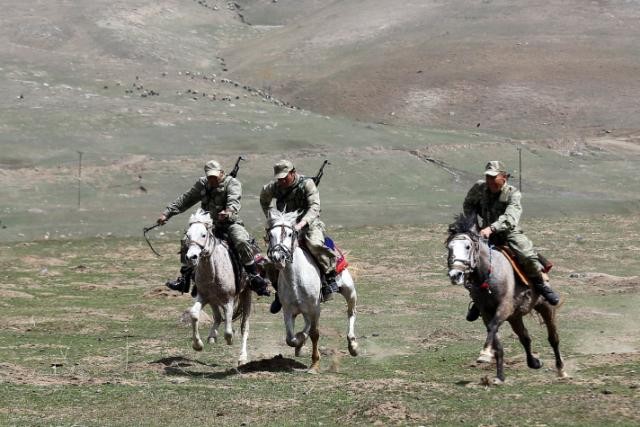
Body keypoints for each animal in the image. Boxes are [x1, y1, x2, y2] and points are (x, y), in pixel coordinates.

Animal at [184, 209, 251, 366]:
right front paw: (197, 345)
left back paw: (242, 357)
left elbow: (228, 328)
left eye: (203, 234)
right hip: (213, 300)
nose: (191, 257)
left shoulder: (229, 300)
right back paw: (212, 336)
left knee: (244, 327)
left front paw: (230, 339)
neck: (212, 270)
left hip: (247, 295)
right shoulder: (203, 296)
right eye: (188, 235)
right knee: (218, 317)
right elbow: (194, 314)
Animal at [264, 209, 358, 372]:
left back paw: (353, 346)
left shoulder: (315, 308)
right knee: (306, 324)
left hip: (349, 290)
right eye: (271, 235)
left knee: (350, 313)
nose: (278, 257)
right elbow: (290, 338)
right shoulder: (288, 310)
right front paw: (300, 342)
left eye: (290, 234)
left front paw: (314, 364)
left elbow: (315, 334)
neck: (295, 279)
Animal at [444, 214, 564, 384]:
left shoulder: (504, 307)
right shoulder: (486, 312)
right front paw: (500, 376)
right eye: (449, 247)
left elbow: (493, 327)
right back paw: (534, 363)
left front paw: (485, 354)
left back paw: (561, 370)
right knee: (525, 338)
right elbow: (496, 340)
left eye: (468, 247)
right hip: (515, 317)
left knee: (553, 338)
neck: (488, 274)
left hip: (545, 307)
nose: (455, 275)